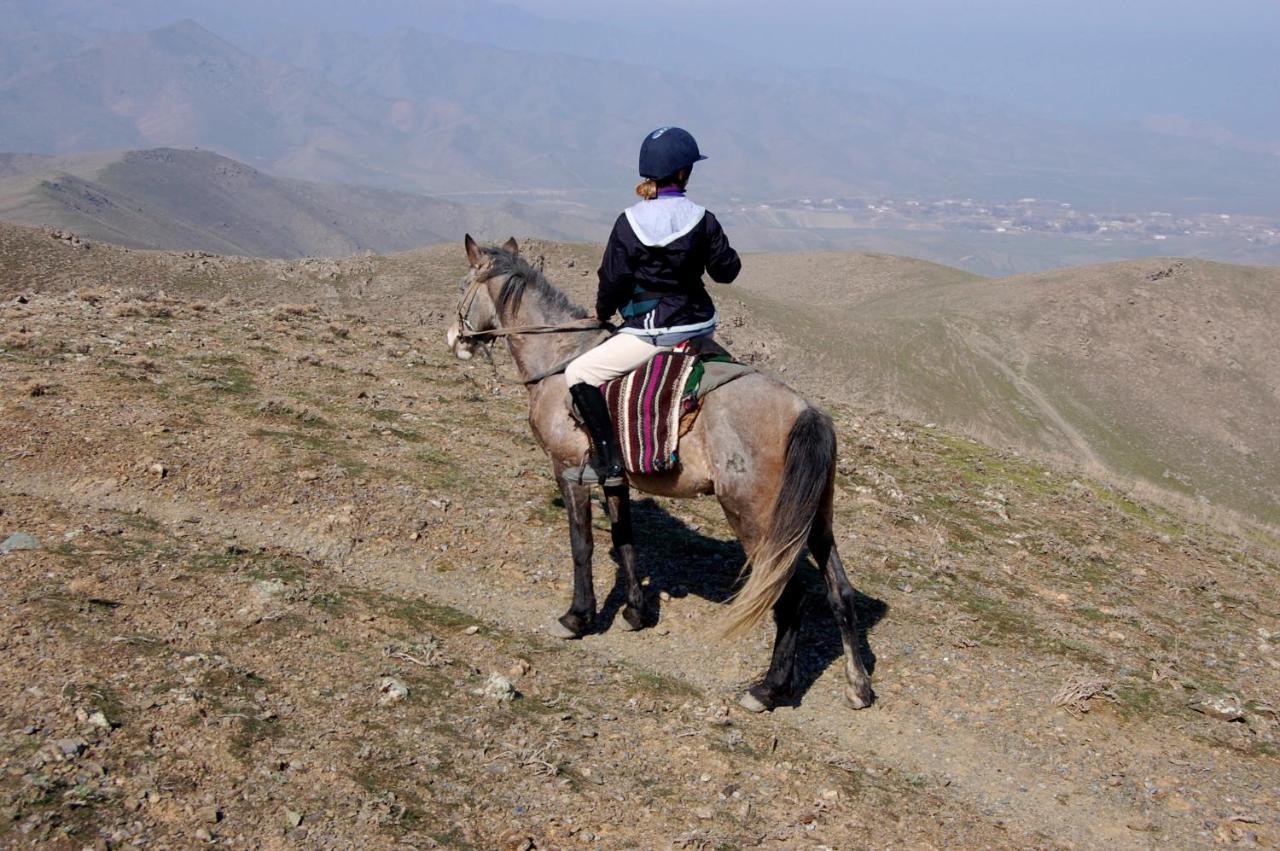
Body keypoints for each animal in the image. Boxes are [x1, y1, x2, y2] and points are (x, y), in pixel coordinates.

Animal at [445, 234, 875, 711]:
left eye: (463, 284)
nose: (455, 340)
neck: (559, 359)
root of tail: (808, 412)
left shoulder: (570, 471)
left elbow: (582, 545)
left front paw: (578, 617)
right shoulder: (613, 476)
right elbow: (625, 540)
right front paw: (634, 612)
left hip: (756, 521)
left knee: (789, 595)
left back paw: (768, 689)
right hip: (815, 521)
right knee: (840, 593)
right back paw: (857, 687)